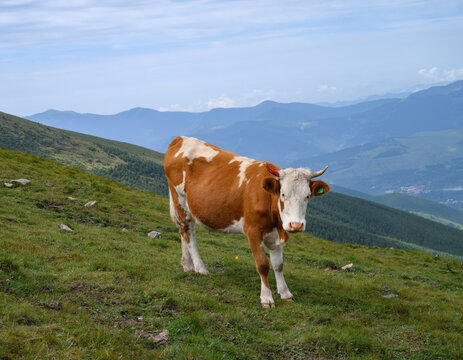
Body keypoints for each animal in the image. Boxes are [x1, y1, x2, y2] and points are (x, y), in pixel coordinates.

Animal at [163, 136, 330, 308]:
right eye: (283, 194)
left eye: (307, 196)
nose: (296, 225)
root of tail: (181, 138)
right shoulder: (253, 231)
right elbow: (263, 265)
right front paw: (267, 298)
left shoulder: (276, 234)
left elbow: (278, 265)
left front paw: (285, 293)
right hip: (180, 200)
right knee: (188, 234)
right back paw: (200, 268)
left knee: (183, 231)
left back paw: (187, 265)